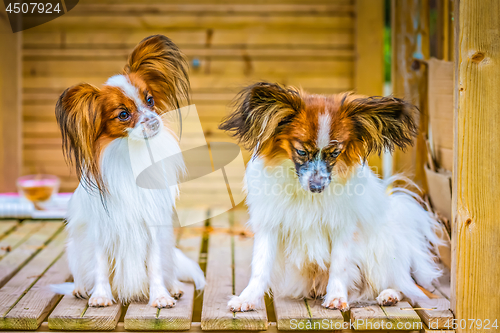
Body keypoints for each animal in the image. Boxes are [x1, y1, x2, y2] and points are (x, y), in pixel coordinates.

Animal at [219, 81, 442, 310]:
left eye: (335, 153)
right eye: (301, 152)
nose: (317, 187)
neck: (306, 195)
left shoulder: (342, 227)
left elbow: (339, 264)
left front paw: (336, 297)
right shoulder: (270, 225)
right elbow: (260, 267)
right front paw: (247, 298)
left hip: (380, 252)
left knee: (404, 286)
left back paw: (389, 295)